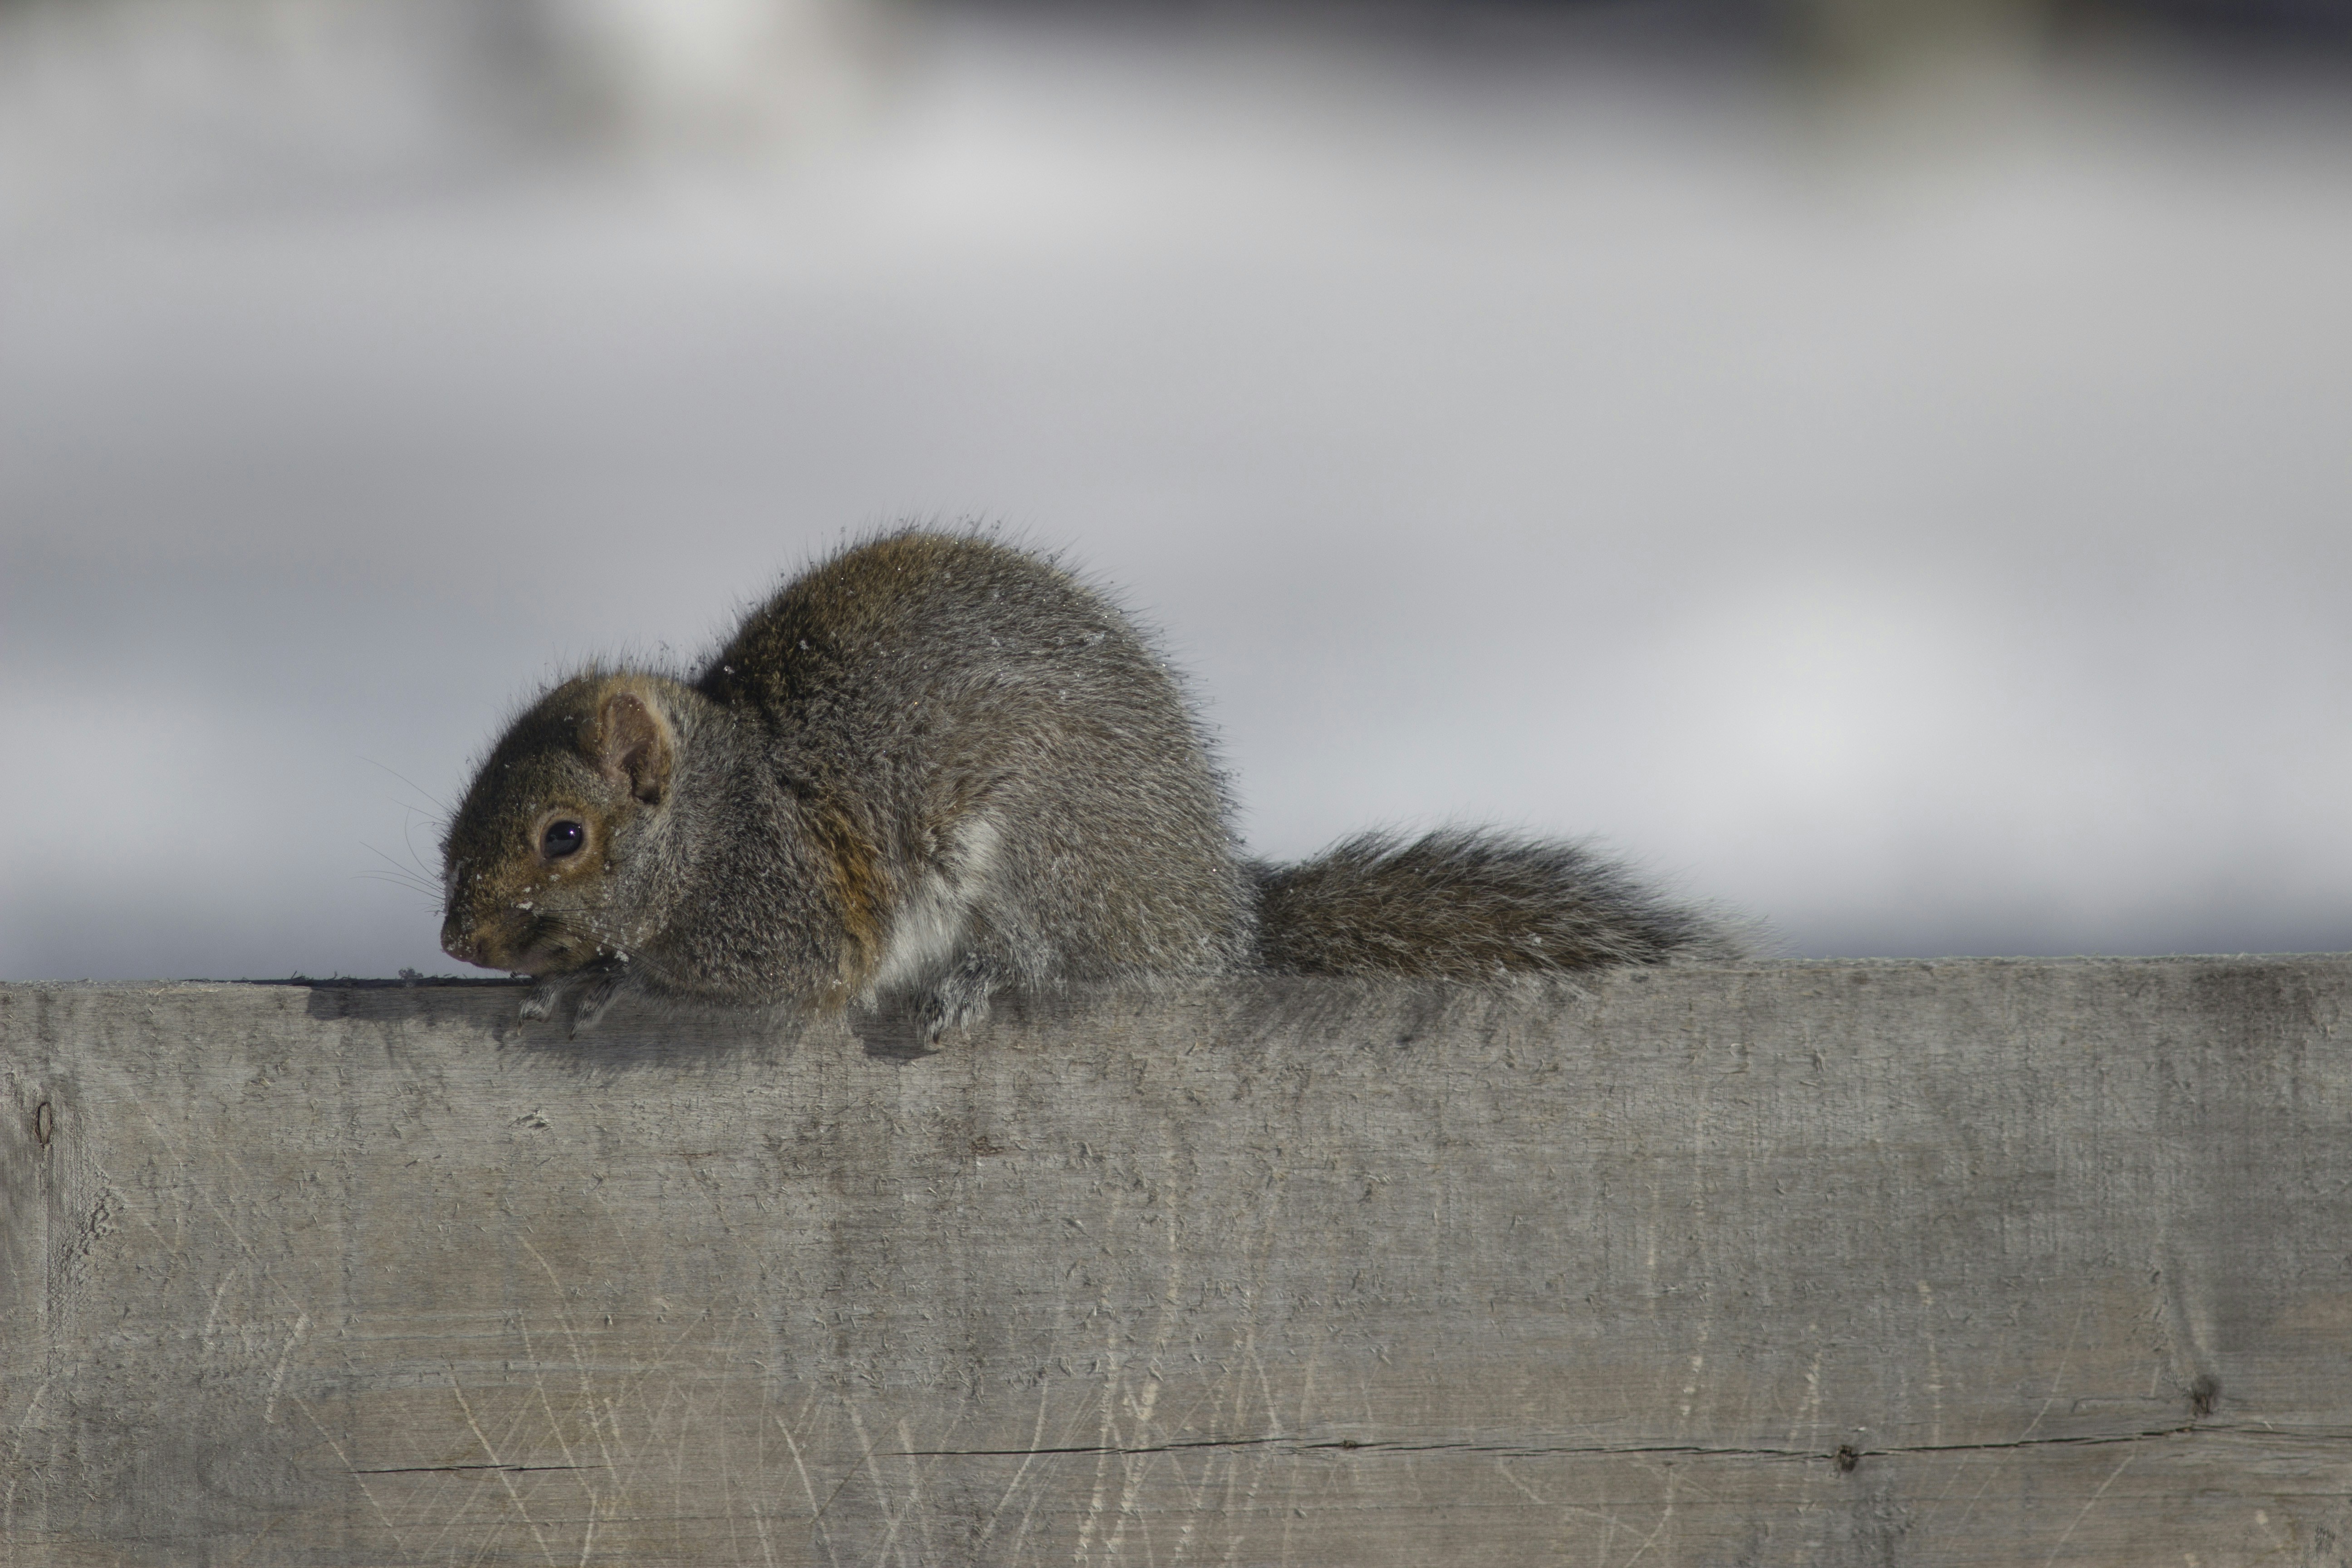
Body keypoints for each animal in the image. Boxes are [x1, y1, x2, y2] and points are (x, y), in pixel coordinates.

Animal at [439, 529, 1742, 1037]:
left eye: (564, 836)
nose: (458, 941)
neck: (721, 810)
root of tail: (1215, 913)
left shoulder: (790, 904)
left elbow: (759, 971)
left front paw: (603, 980)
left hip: (1037, 856)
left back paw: (976, 987)